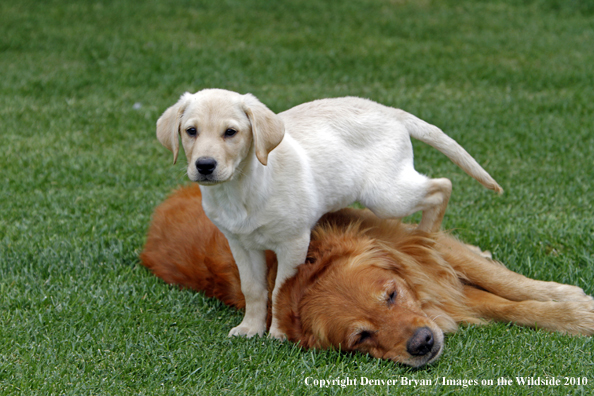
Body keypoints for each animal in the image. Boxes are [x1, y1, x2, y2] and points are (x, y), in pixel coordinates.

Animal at [156, 88, 500, 338]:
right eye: (191, 131)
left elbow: (279, 291)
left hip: (386, 193)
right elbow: (253, 289)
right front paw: (250, 328)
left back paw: (427, 236)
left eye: (231, 132)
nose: (205, 165)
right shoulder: (239, 243)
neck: (240, 189)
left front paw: (277, 334)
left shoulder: (294, 242)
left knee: (442, 187)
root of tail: (389, 111)